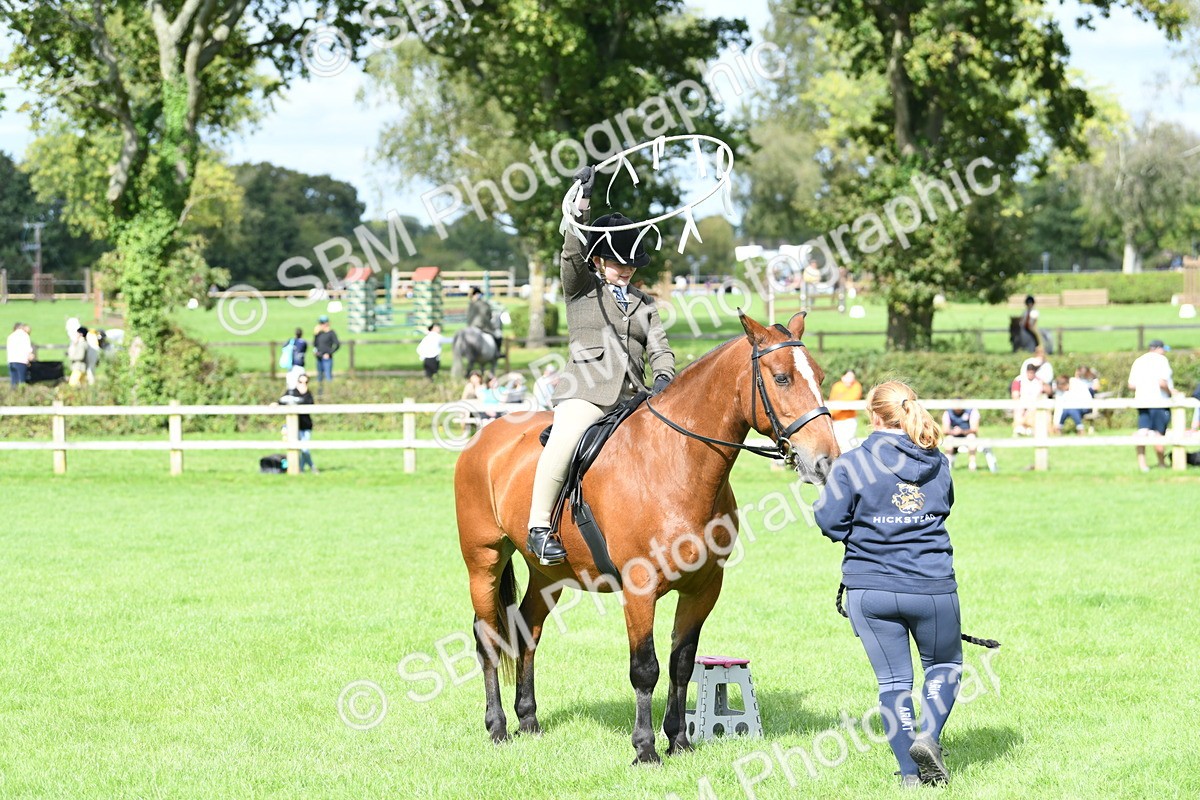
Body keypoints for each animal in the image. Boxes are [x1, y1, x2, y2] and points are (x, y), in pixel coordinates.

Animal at [454, 311, 839, 763]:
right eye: (781, 378)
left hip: (549, 574)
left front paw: (679, 740)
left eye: (820, 375)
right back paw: (497, 727)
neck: (675, 462)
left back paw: (528, 721)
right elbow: (645, 668)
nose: (826, 460)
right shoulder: (639, 588)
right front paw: (645, 748)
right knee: (488, 638)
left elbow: (681, 664)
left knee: (528, 631)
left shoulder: (703, 587)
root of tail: (483, 437)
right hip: (484, 560)